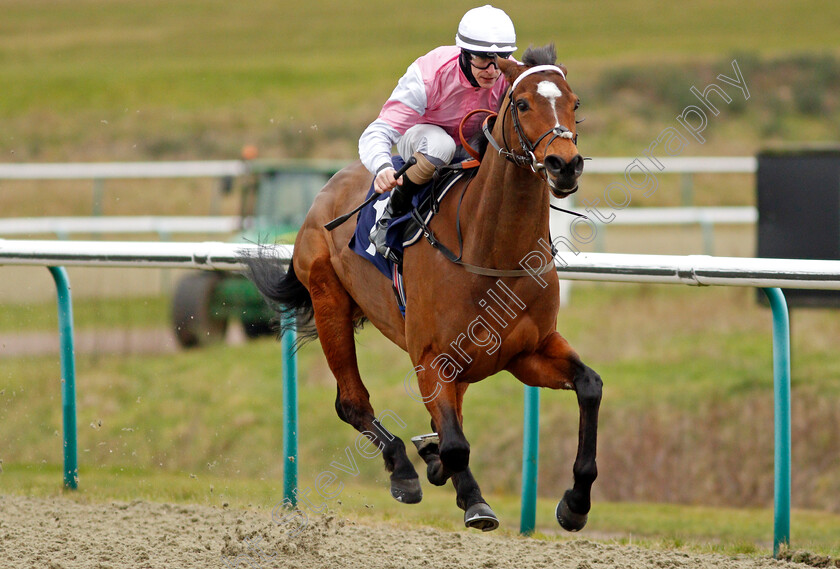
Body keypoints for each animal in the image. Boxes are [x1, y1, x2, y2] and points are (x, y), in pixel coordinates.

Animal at [240, 45, 600, 532]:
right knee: (352, 403)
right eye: (523, 103)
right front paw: (474, 502)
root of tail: (326, 190)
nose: (566, 164)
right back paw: (404, 469)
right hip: (329, 299)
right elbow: (456, 444)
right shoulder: (432, 360)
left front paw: (575, 502)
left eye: (574, 103)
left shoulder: (529, 352)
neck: (492, 253)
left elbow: (589, 385)